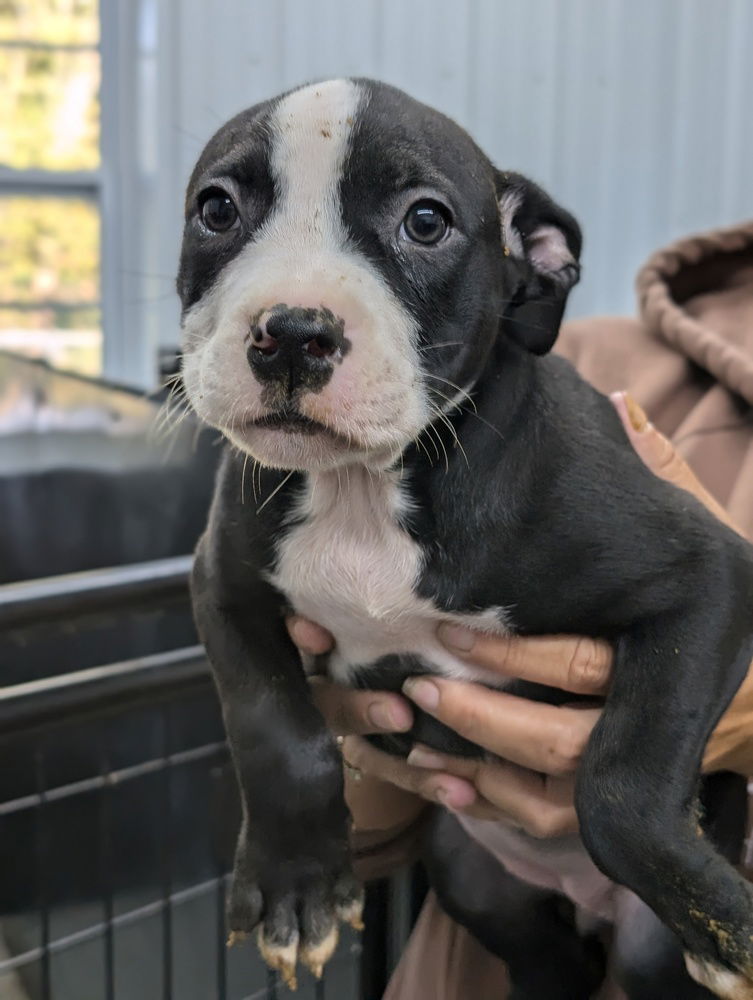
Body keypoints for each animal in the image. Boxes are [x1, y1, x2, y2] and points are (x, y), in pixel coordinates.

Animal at [179, 80, 752, 1000]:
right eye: (217, 209)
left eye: (425, 221)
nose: (293, 331)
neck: (364, 488)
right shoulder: (223, 586)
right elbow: (274, 732)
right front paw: (296, 889)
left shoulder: (708, 574)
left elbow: (621, 786)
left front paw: (723, 918)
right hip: (471, 872)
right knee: (547, 959)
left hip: (640, 948)